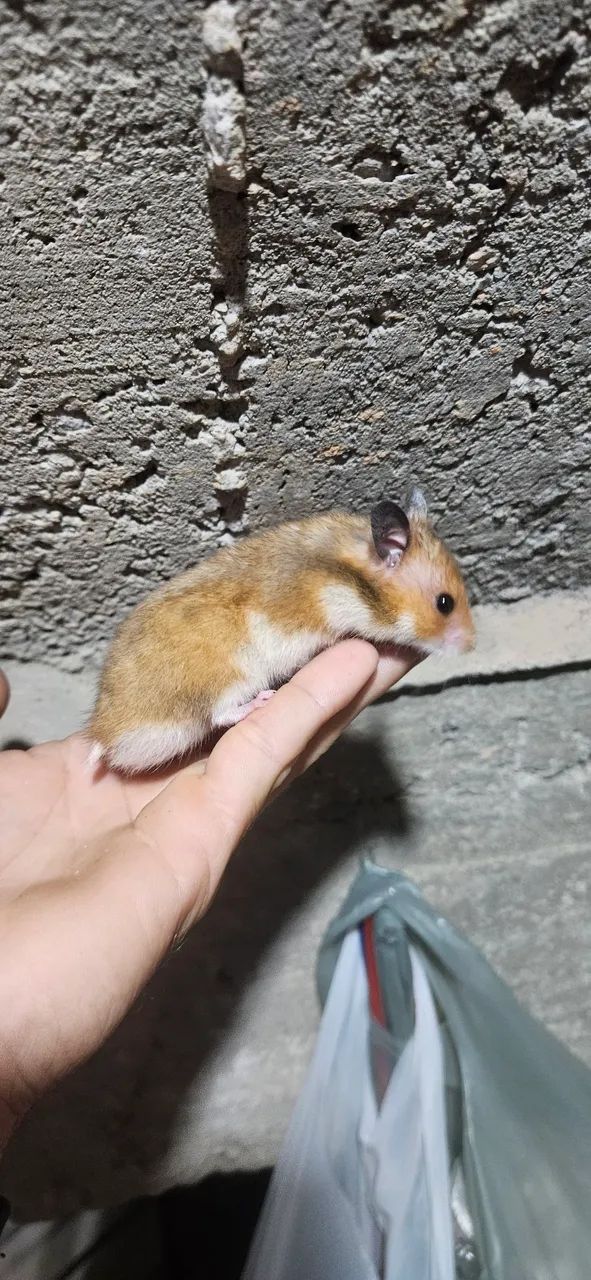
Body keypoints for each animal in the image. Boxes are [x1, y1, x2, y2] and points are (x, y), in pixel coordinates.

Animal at [88, 488, 475, 774]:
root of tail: (104, 733)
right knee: (220, 713)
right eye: (445, 603)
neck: (350, 578)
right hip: (232, 675)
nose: (472, 646)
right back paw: (262, 701)